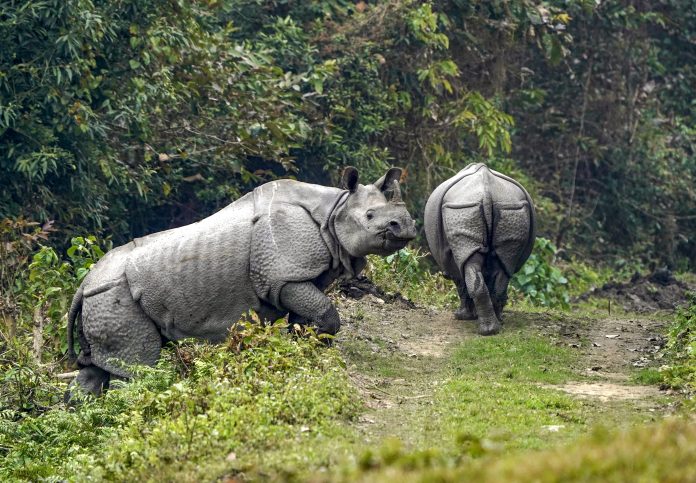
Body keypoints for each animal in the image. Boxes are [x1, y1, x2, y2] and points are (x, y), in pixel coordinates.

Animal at [66, 167, 416, 397]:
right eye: (369, 216)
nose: (406, 226)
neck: (335, 209)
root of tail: (82, 286)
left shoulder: (298, 276)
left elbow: (308, 317)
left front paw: (303, 350)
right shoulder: (283, 276)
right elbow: (326, 314)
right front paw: (315, 351)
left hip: (102, 298)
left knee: (102, 367)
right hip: (112, 294)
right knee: (135, 369)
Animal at [424, 163, 536, 335]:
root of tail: (487, 191)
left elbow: (461, 284)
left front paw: (462, 316)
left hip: (461, 209)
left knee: (471, 268)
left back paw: (486, 328)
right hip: (510, 210)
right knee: (504, 265)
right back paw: (495, 326)